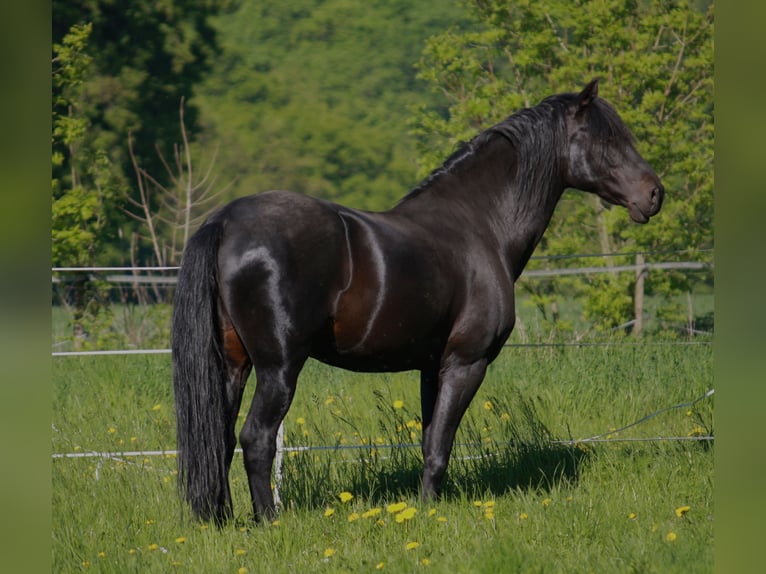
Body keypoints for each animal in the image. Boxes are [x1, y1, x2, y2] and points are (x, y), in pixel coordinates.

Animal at [174, 81, 664, 528]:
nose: (655, 193)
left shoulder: (432, 366)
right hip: (279, 369)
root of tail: (226, 221)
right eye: (607, 139)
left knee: (217, 438)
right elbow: (440, 447)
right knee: (256, 439)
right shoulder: (466, 363)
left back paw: (221, 520)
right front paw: (428, 513)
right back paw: (269, 522)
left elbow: (429, 441)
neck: (480, 225)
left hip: (233, 365)